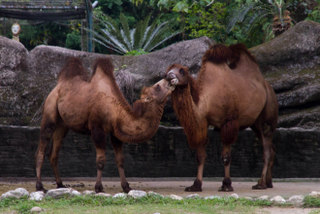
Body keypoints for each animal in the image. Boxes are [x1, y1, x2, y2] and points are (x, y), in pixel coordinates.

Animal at [35, 57, 174, 193]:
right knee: (41, 148)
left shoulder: (115, 133)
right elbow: (101, 160)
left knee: (54, 153)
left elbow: (120, 159)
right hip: (49, 110)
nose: (170, 77)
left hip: (62, 125)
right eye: (157, 86)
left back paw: (60, 184)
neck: (115, 111)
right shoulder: (97, 129)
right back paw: (40, 186)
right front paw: (98, 187)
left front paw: (126, 187)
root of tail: (58, 86)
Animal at [166, 44, 278, 192]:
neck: (207, 100)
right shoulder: (203, 123)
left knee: (267, 150)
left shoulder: (228, 122)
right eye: (168, 69)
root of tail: (268, 86)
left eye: (181, 71)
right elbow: (200, 156)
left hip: (268, 116)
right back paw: (269, 182)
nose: (169, 76)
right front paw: (195, 185)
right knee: (270, 148)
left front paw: (226, 184)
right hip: (255, 123)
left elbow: (226, 157)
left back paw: (260, 184)